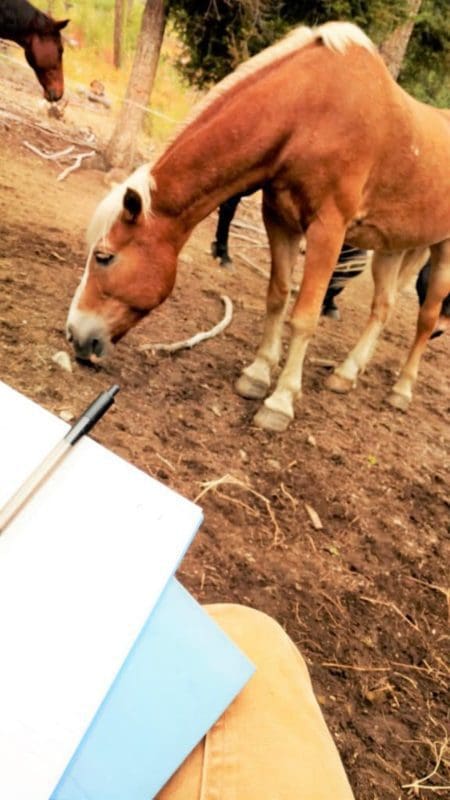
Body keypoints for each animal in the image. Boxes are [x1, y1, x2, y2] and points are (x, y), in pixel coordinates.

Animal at [66, 21, 450, 433]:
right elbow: (277, 297)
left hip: (442, 252)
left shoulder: (328, 231)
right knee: (383, 307)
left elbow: (304, 317)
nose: (75, 334)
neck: (309, 112)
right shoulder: (279, 218)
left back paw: (402, 389)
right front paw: (257, 375)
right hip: (394, 246)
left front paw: (280, 401)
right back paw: (346, 374)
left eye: (104, 257)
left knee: (426, 319)